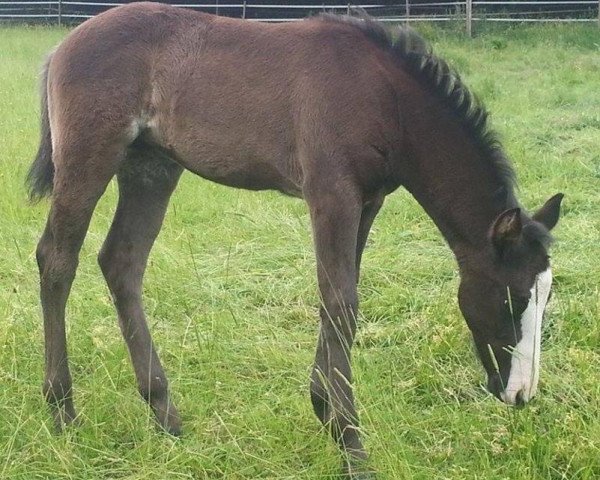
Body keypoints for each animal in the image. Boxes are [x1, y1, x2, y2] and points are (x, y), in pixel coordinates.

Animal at [27, 2, 564, 476]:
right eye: (514, 298)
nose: (521, 394)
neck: (385, 98)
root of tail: (63, 46)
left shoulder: (368, 202)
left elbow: (342, 296)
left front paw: (326, 412)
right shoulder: (331, 193)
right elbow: (341, 299)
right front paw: (351, 445)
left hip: (151, 167)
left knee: (122, 261)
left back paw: (164, 414)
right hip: (91, 155)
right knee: (57, 259)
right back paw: (63, 411)